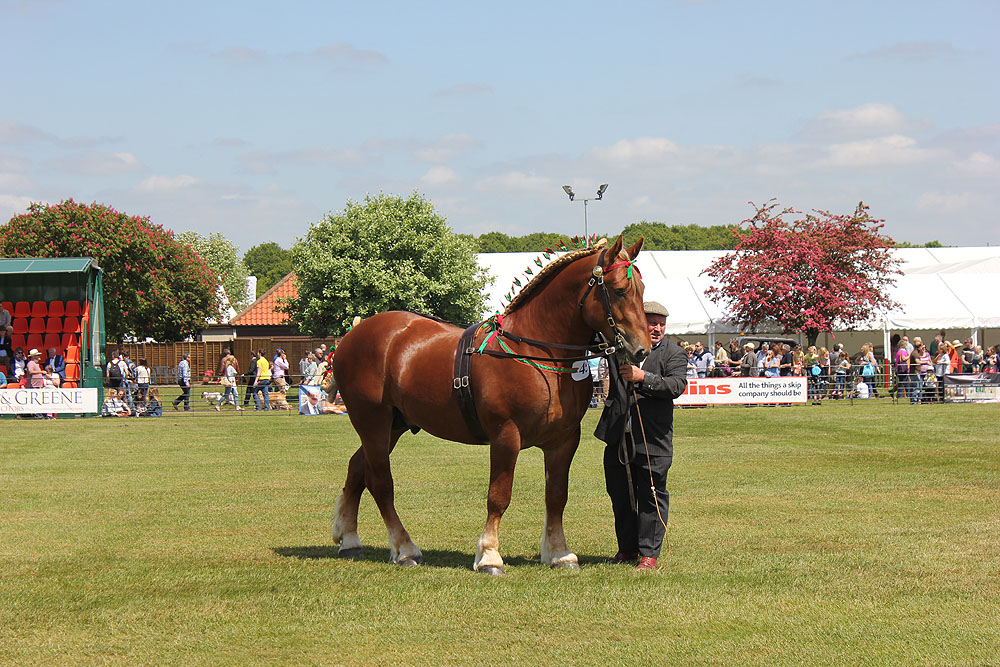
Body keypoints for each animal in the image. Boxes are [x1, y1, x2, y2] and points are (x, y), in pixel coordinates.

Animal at [332, 235, 652, 576]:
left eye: (642, 290)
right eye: (619, 290)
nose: (641, 349)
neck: (534, 351)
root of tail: (354, 333)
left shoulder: (564, 441)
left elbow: (556, 496)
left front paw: (560, 553)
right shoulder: (505, 437)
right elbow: (499, 497)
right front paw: (489, 555)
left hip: (394, 425)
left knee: (357, 468)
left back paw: (349, 539)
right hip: (372, 422)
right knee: (380, 482)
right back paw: (404, 549)